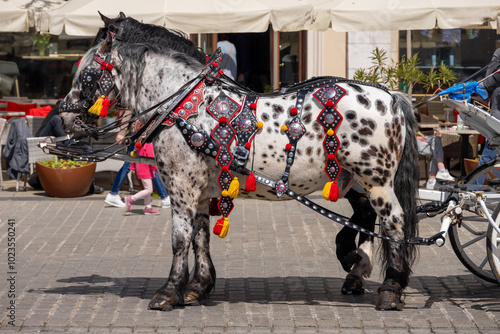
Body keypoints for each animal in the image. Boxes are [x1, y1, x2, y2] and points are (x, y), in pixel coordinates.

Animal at [54, 14, 420, 312]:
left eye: (87, 74)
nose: (63, 118)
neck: (184, 104)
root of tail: (392, 96)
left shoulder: (181, 187)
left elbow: (179, 238)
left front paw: (169, 292)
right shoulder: (200, 190)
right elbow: (200, 236)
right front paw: (198, 287)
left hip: (377, 180)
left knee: (394, 222)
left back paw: (390, 288)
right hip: (353, 180)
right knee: (367, 218)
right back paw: (358, 268)